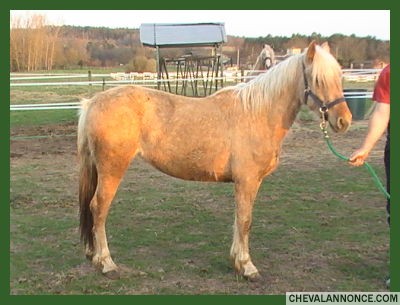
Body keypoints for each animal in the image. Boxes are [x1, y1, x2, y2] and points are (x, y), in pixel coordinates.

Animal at [79, 41, 354, 280]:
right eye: (317, 79)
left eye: (339, 77)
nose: (344, 121)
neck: (258, 113)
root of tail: (93, 101)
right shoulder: (247, 181)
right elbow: (245, 221)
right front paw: (247, 267)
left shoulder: (247, 183)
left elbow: (239, 220)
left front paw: (237, 261)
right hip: (112, 170)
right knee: (98, 208)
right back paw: (107, 263)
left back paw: (94, 256)